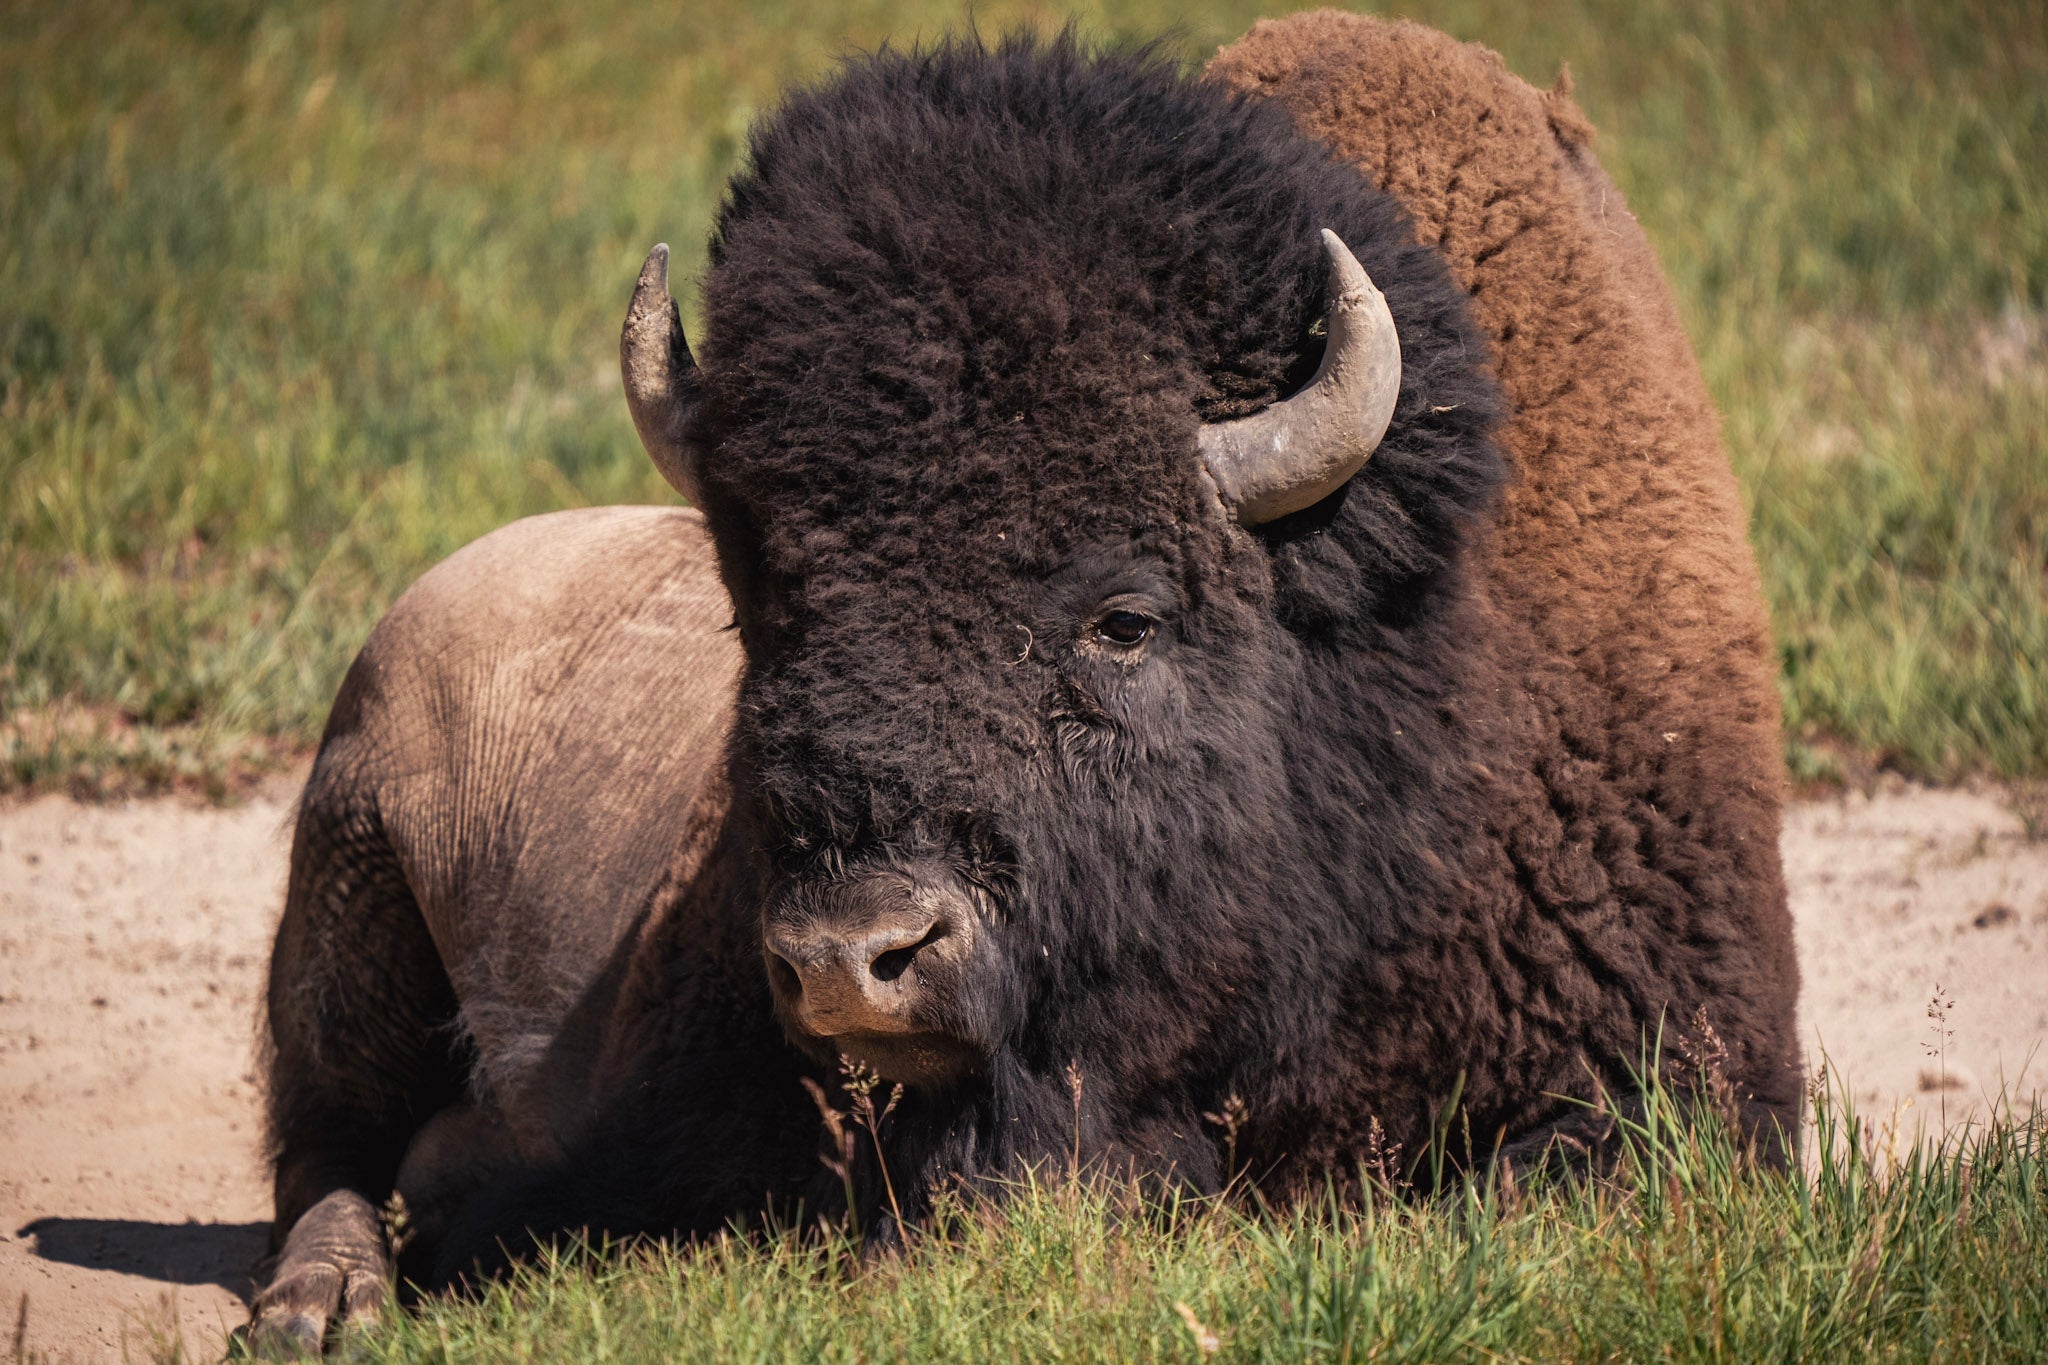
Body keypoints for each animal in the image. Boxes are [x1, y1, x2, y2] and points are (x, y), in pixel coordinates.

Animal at [251, 15, 1799, 1349]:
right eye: (769, 603)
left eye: (1125, 620)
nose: (852, 957)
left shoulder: (1689, 1074)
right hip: (347, 880)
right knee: (326, 1146)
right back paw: (321, 1305)